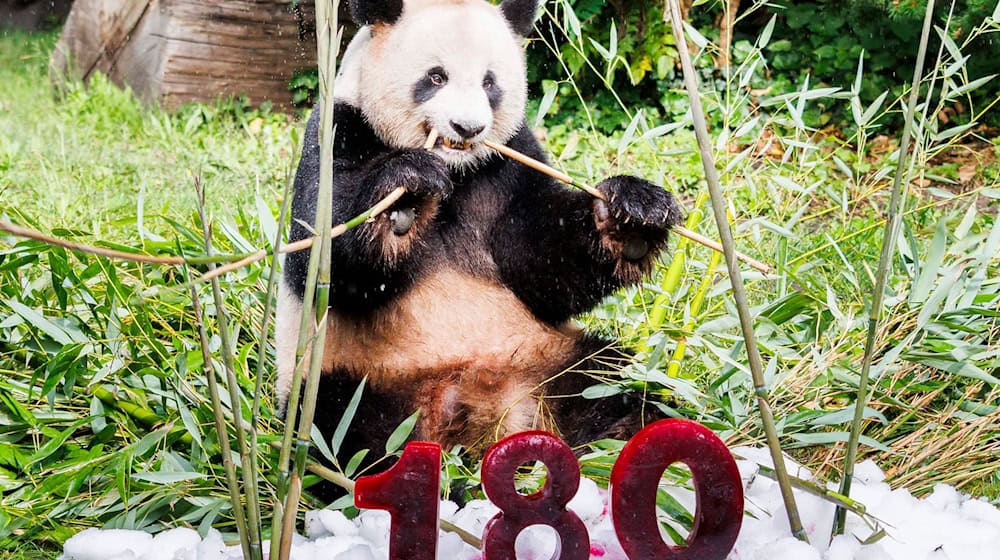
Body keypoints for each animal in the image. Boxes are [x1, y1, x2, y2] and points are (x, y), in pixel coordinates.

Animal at [274, 0, 680, 472]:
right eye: (436, 77)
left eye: (490, 82)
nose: (467, 128)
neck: (456, 171)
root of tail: (485, 411)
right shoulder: (339, 130)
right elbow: (320, 255)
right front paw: (404, 196)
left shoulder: (510, 161)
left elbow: (542, 268)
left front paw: (631, 216)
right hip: (358, 376)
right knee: (343, 432)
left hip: (548, 356)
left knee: (611, 380)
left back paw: (635, 438)